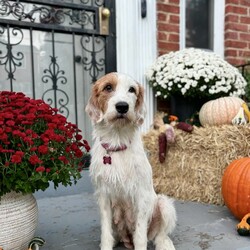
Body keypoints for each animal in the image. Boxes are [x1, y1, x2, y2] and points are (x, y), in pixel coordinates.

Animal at [86, 72, 178, 250]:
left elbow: (140, 235)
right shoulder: (104, 195)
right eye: (108, 87)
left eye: (132, 90)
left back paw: (165, 243)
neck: (117, 141)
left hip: (164, 204)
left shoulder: (141, 194)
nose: (122, 107)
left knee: (159, 234)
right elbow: (106, 232)